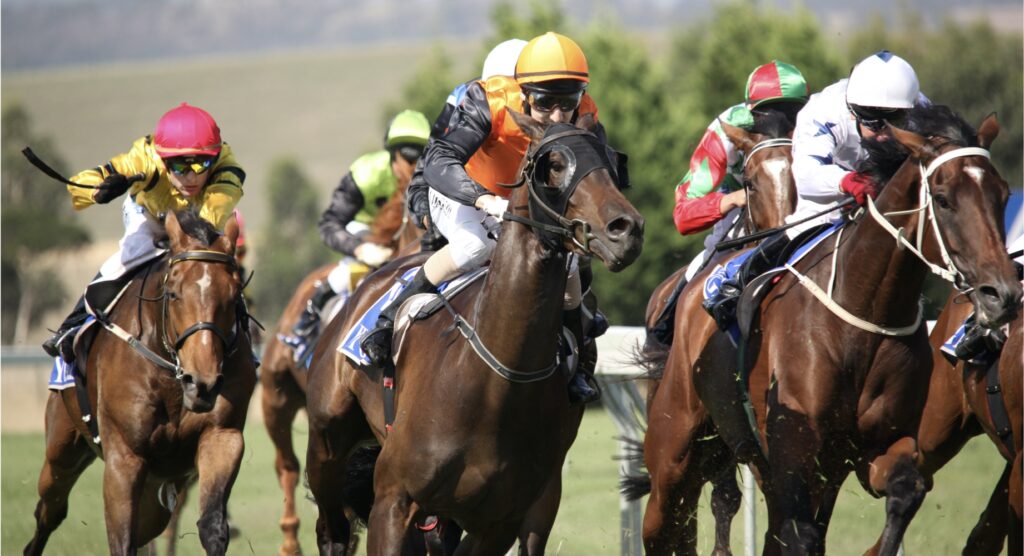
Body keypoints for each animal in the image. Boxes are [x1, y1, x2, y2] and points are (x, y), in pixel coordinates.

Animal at [24, 210, 258, 552]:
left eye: (234, 294)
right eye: (173, 294)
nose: (202, 382)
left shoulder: (222, 436)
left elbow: (212, 527)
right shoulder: (124, 457)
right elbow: (122, 538)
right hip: (62, 450)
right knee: (49, 511)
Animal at [299, 110, 643, 556]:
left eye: (612, 161)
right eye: (553, 164)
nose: (626, 229)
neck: (497, 383)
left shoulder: (505, 520)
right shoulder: (393, 500)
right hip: (327, 441)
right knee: (333, 529)